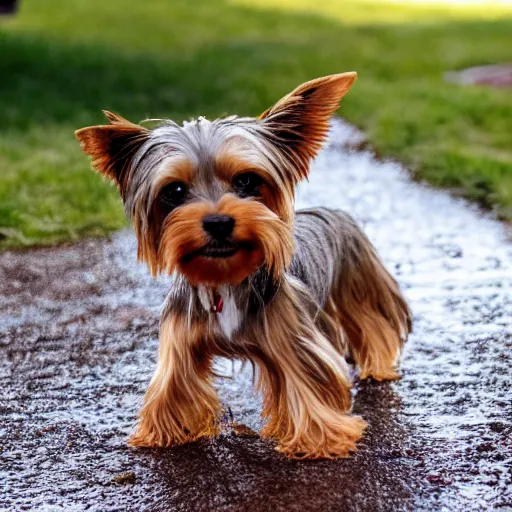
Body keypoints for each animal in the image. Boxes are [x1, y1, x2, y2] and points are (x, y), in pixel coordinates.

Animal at [77, 73, 412, 460]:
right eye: (174, 191)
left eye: (247, 180)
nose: (219, 222)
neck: (224, 277)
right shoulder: (180, 339)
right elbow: (173, 383)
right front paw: (164, 433)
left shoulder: (295, 338)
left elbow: (308, 383)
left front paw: (321, 438)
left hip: (359, 281)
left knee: (374, 323)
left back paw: (378, 368)